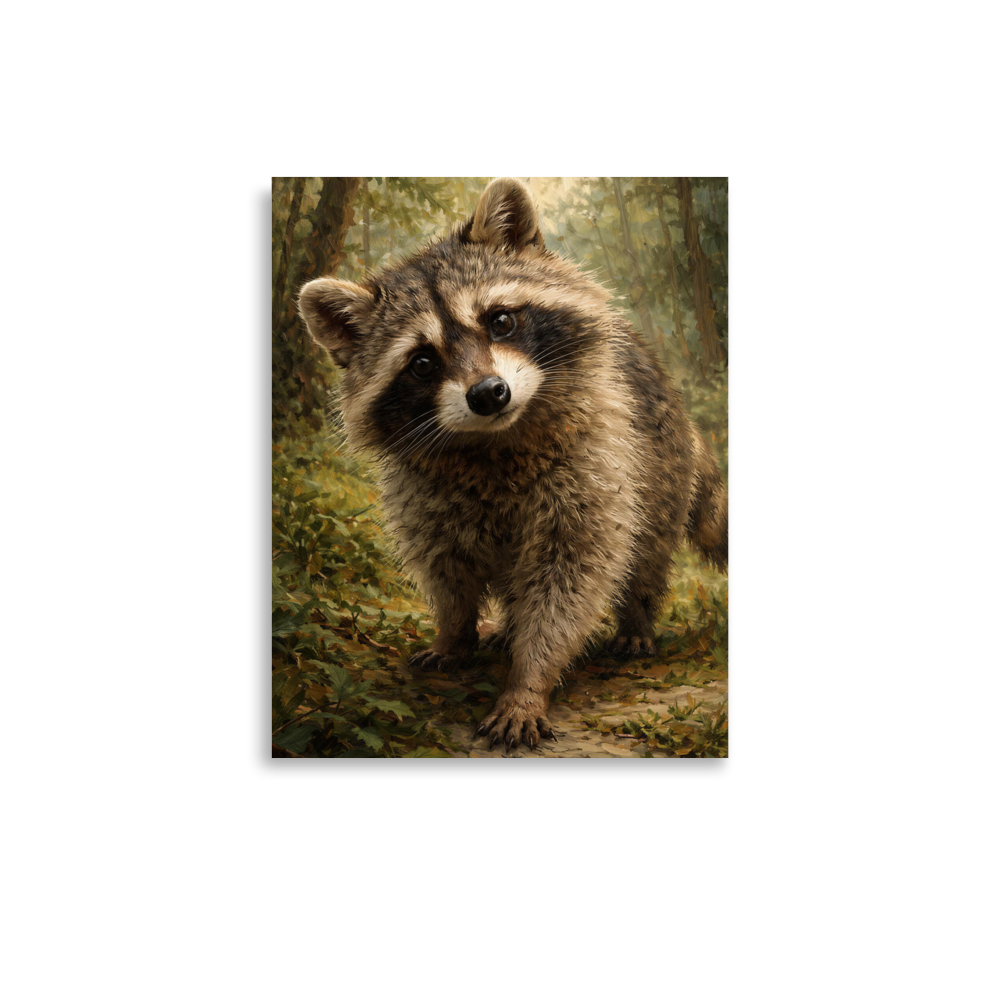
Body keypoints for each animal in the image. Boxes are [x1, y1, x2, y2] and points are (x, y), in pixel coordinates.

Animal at [298, 176, 729, 750]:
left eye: (500, 320)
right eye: (422, 362)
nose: (488, 393)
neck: (494, 442)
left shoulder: (595, 464)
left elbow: (569, 580)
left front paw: (529, 680)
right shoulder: (422, 494)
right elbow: (446, 570)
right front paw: (454, 633)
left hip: (660, 466)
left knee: (646, 552)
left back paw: (635, 619)